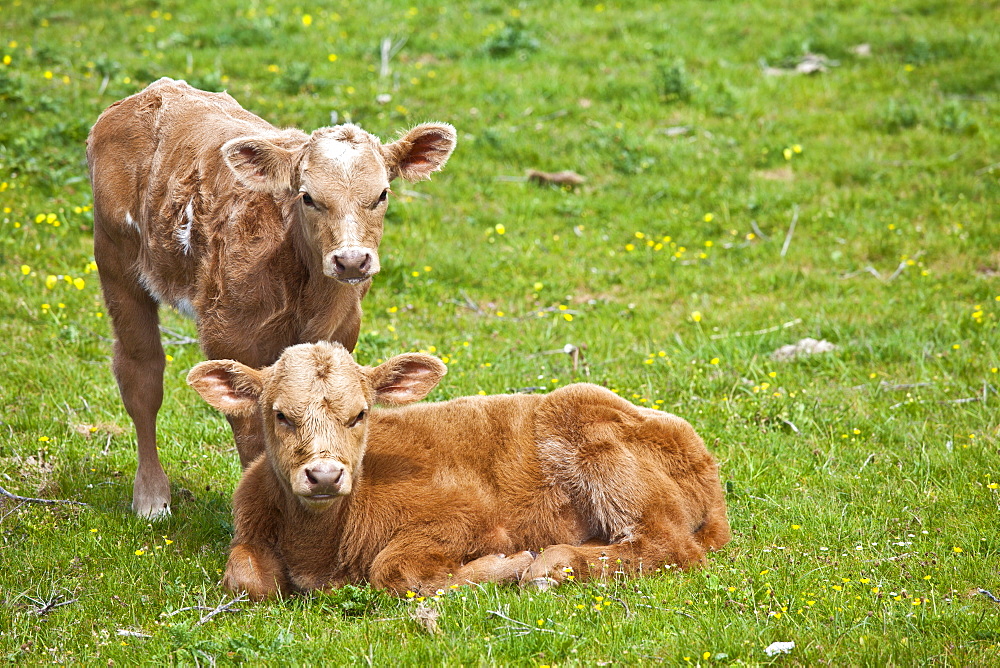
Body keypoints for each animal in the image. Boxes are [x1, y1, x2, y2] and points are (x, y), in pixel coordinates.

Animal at [88, 77, 458, 516]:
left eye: (382, 194)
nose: (351, 260)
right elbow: (252, 430)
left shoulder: (342, 332)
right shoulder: (230, 336)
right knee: (141, 374)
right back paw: (151, 497)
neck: (307, 292)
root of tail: (150, 92)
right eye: (308, 197)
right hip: (116, 260)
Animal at [189, 342, 736, 596]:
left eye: (360, 414)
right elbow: (245, 579)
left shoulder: (468, 518)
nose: (324, 475)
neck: (318, 550)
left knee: (668, 545)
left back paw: (552, 564)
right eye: (281, 414)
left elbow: (396, 570)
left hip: (595, 434)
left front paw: (505, 565)